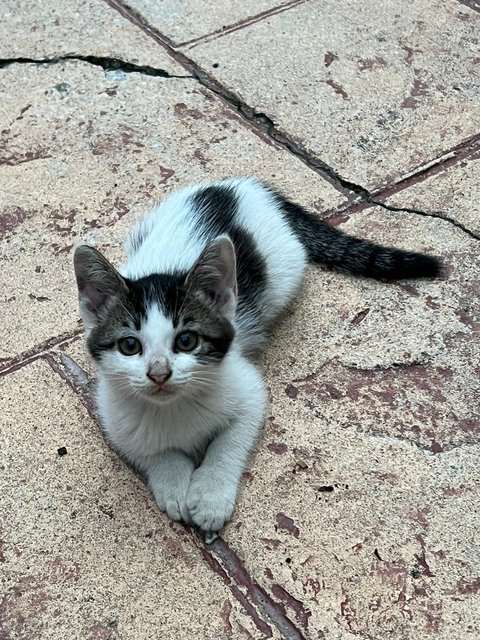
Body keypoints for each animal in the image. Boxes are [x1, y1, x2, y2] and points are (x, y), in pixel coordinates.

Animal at [74, 178, 438, 544]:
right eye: (129, 345)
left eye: (186, 341)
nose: (159, 373)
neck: (172, 409)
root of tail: (242, 186)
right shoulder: (114, 417)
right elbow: (150, 451)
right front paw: (173, 485)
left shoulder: (248, 390)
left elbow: (230, 442)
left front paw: (210, 498)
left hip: (285, 269)